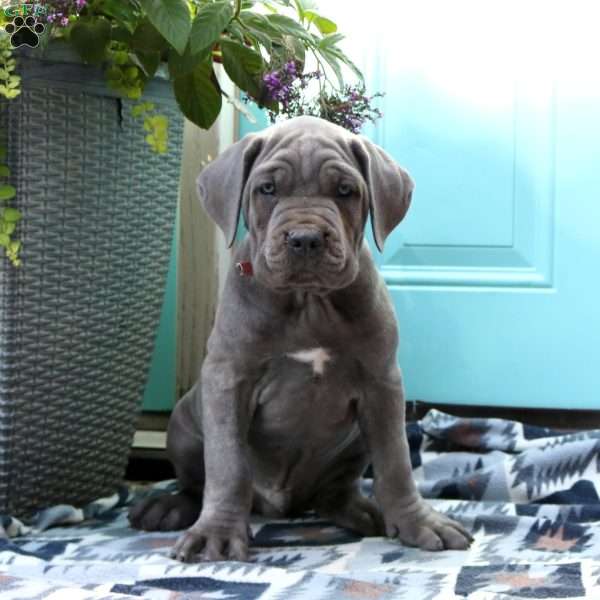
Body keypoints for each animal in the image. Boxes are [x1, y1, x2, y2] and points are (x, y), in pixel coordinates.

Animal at [127, 116, 474, 564]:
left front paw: (418, 522)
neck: (308, 302)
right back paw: (165, 507)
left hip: (354, 442)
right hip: (184, 422)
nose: (305, 238)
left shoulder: (382, 383)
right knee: (195, 483)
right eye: (267, 189)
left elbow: (396, 461)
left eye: (345, 191)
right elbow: (227, 464)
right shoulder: (229, 379)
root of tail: (282, 506)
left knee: (336, 490)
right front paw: (216, 533)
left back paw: (364, 511)